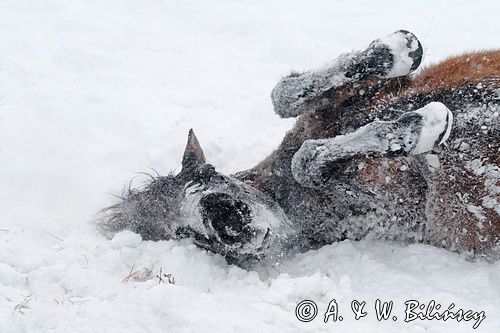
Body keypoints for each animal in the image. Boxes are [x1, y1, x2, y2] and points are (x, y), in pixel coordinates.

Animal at [99, 29, 498, 266]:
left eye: (207, 172)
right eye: (183, 234)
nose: (223, 214)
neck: (288, 198)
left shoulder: (365, 98)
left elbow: (286, 95)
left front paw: (398, 49)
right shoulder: (385, 208)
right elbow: (308, 160)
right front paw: (423, 125)